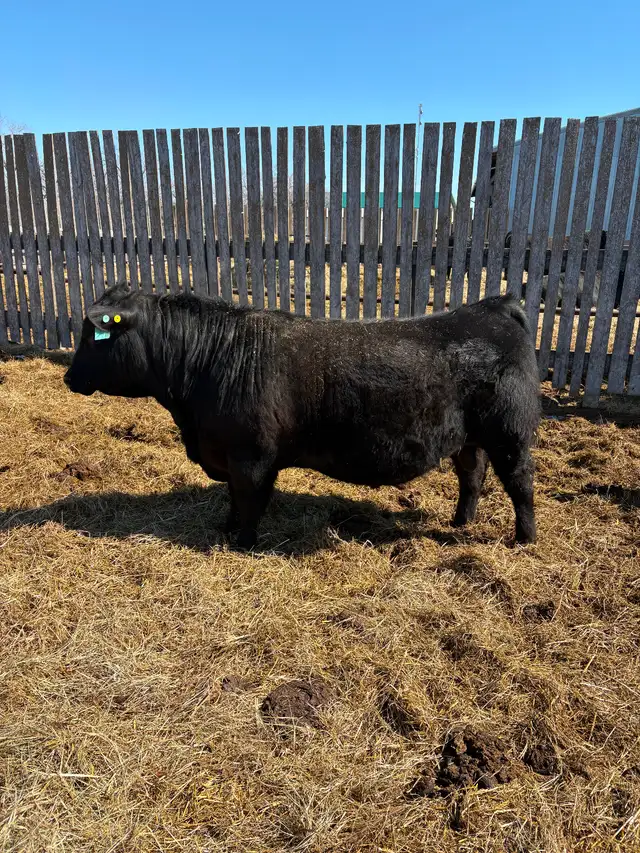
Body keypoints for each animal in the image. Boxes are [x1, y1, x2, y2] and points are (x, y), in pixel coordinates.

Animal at [64, 284, 541, 550]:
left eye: (92, 335)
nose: (68, 377)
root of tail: (493, 306)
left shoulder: (252, 457)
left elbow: (250, 501)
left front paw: (243, 543)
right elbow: (233, 499)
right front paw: (224, 528)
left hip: (510, 435)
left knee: (519, 484)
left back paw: (524, 539)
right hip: (469, 437)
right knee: (472, 476)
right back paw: (460, 521)